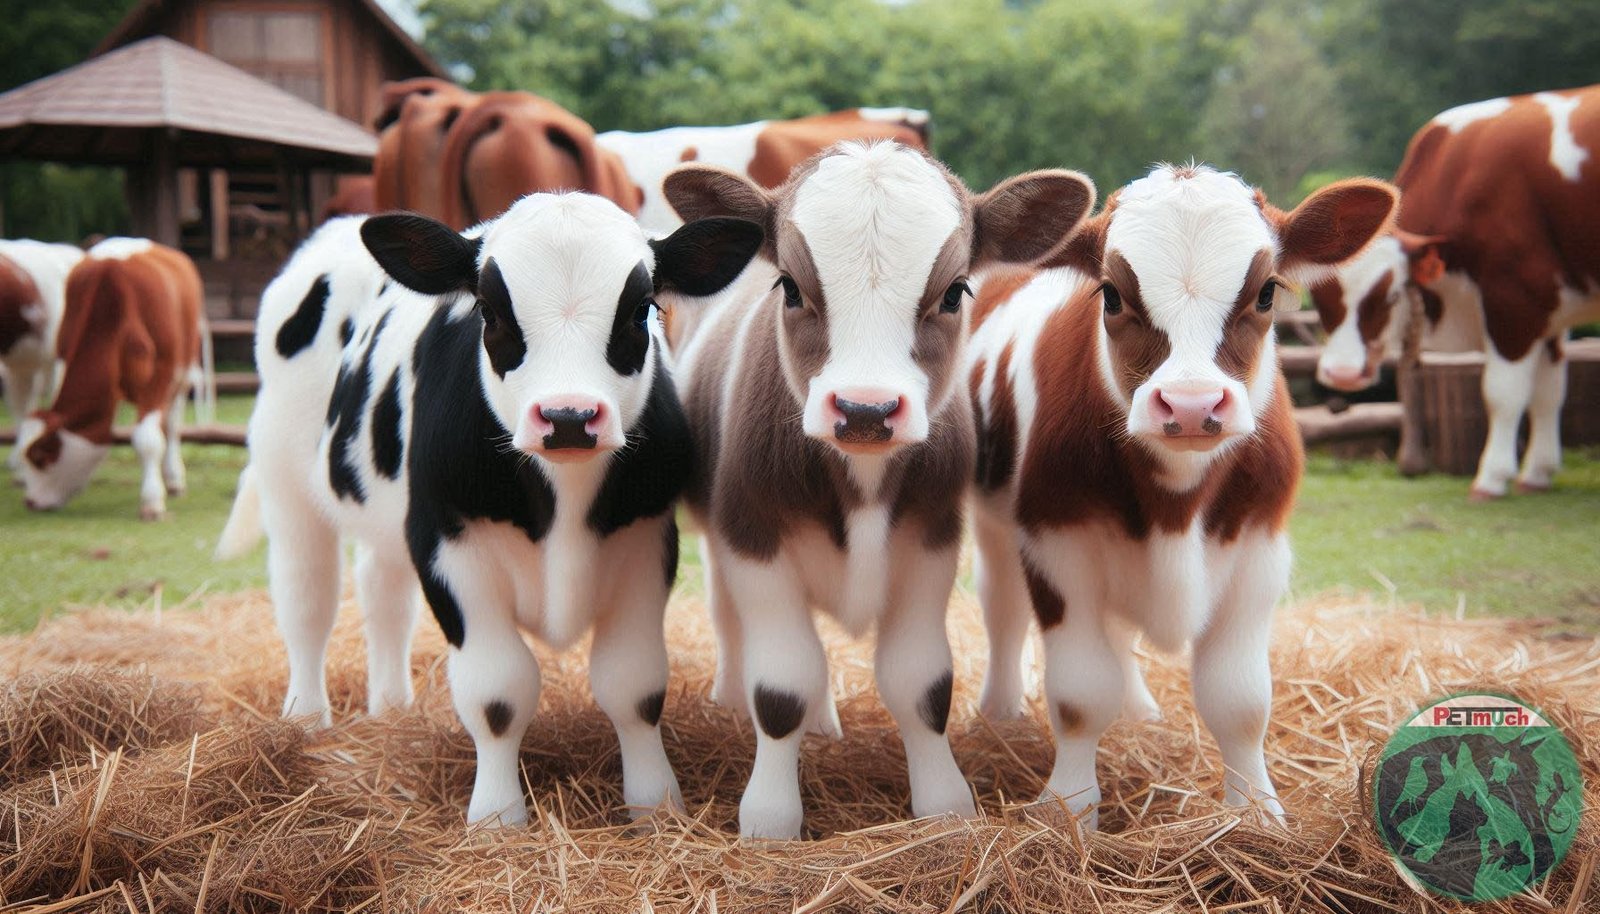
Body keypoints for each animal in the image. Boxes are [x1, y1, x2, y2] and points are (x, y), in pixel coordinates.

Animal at [17, 238, 203, 519]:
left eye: (41, 457)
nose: (31, 502)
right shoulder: (63, 353)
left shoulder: (161, 374)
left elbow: (148, 439)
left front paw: (152, 501)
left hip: (182, 373)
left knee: (171, 425)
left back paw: (173, 478)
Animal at [215, 197, 763, 826]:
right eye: (490, 311)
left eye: (640, 310)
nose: (569, 417)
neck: (563, 504)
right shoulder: (446, 544)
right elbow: (498, 692)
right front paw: (497, 817)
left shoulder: (646, 540)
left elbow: (634, 684)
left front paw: (655, 805)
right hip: (286, 482)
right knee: (307, 603)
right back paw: (306, 719)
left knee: (382, 593)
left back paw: (392, 708)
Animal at [661, 140, 1095, 839]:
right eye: (791, 287)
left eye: (955, 292)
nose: (865, 409)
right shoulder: (753, 538)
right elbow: (781, 685)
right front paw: (770, 816)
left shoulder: (931, 538)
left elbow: (921, 683)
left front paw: (943, 803)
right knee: (731, 619)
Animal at [967, 165, 1397, 829]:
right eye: (1112, 294)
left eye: (1266, 292)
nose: (1192, 405)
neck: (1176, 503)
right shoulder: (1056, 542)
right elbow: (1081, 693)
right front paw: (1070, 810)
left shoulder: (1259, 551)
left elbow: (1240, 700)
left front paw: (1258, 814)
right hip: (994, 526)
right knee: (1003, 609)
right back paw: (1000, 711)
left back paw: (1139, 710)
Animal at [1309, 86, 1600, 498]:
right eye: (1318, 298)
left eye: (1391, 296)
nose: (1343, 374)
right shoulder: (1551, 314)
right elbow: (1549, 392)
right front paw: (1537, 474)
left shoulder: (1516, 300)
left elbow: (1504, 393)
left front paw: (1491, 478)